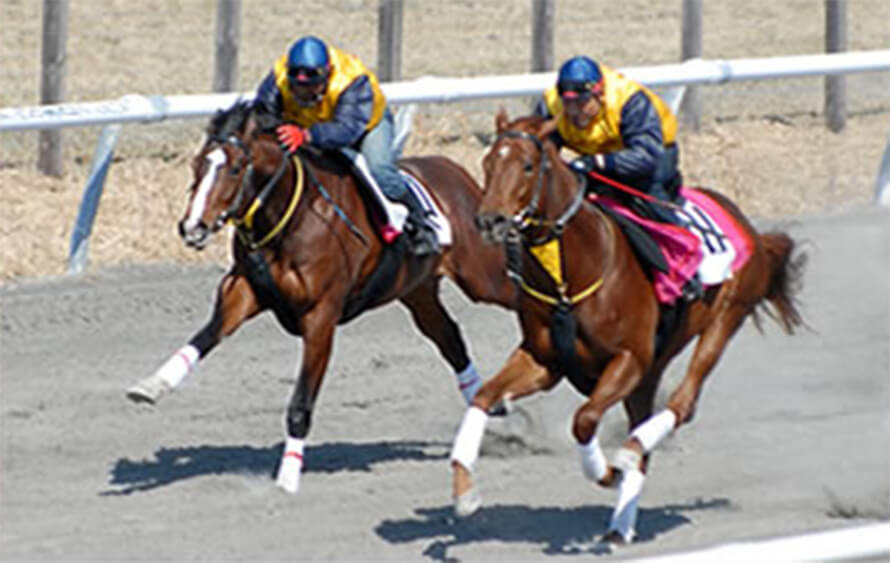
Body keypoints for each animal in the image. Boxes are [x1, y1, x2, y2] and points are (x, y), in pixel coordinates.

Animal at [122, 100, 520, 494]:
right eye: (197, 164)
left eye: (235, 168)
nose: (192, 227)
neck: (292, 216)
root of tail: (460, 175)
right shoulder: (245, 290)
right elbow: (204, 336)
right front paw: (152, 385)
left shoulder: (320, 316)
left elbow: (301, 403)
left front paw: (287, 479)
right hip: (417, 291)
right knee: (449, 338)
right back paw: (486, 404)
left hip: (481, 277)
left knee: (513, 295)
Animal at [450, 108, 804, 544]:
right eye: (487, 163)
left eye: (528, 165)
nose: (490, 221)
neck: (571, 274)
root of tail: (746, 224)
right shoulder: (544, 361)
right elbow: (483, 397)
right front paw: (464, 491)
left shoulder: (628, 358)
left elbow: (584, 420)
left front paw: (607, 470)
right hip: (653, 366)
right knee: (646, 425)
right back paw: (622, 521)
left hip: (724, 320)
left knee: (682, 405)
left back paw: (628, 462)